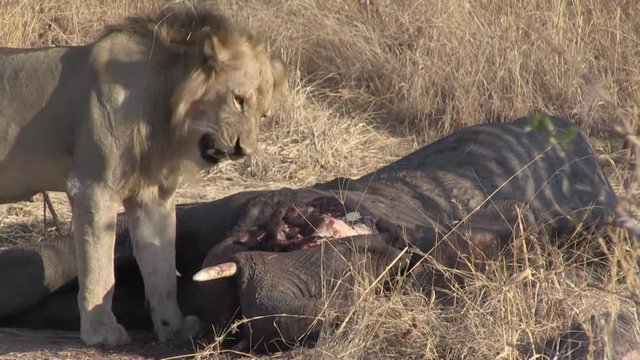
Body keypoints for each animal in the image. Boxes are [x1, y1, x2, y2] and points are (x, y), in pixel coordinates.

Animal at [0, 3, 288, 346]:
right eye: (239, 99)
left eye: (264, 115)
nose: (243, 150)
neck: (164, 104)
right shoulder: (94, 187)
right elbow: (100, 266)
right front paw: (101, 332)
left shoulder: (153, 196)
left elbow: (162, 269)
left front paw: (174, 329)